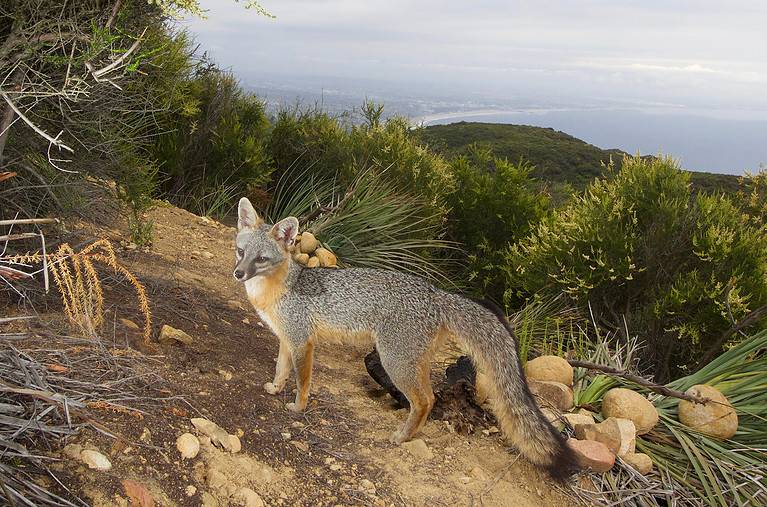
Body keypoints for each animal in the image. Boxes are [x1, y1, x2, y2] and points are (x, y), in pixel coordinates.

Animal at [233, 197, 579, 481]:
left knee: (426, 400)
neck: (279, 287)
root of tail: (436, 293)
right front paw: (275, 388)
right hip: (412, 362)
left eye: (261, 259)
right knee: (431, 397)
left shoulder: (303, 342)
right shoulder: (286, 339)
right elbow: (281, 369)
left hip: (394, 362)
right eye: (241, 252)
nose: (238, 273)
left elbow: (302, 380)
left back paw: (402, 437)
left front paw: (298, 406)